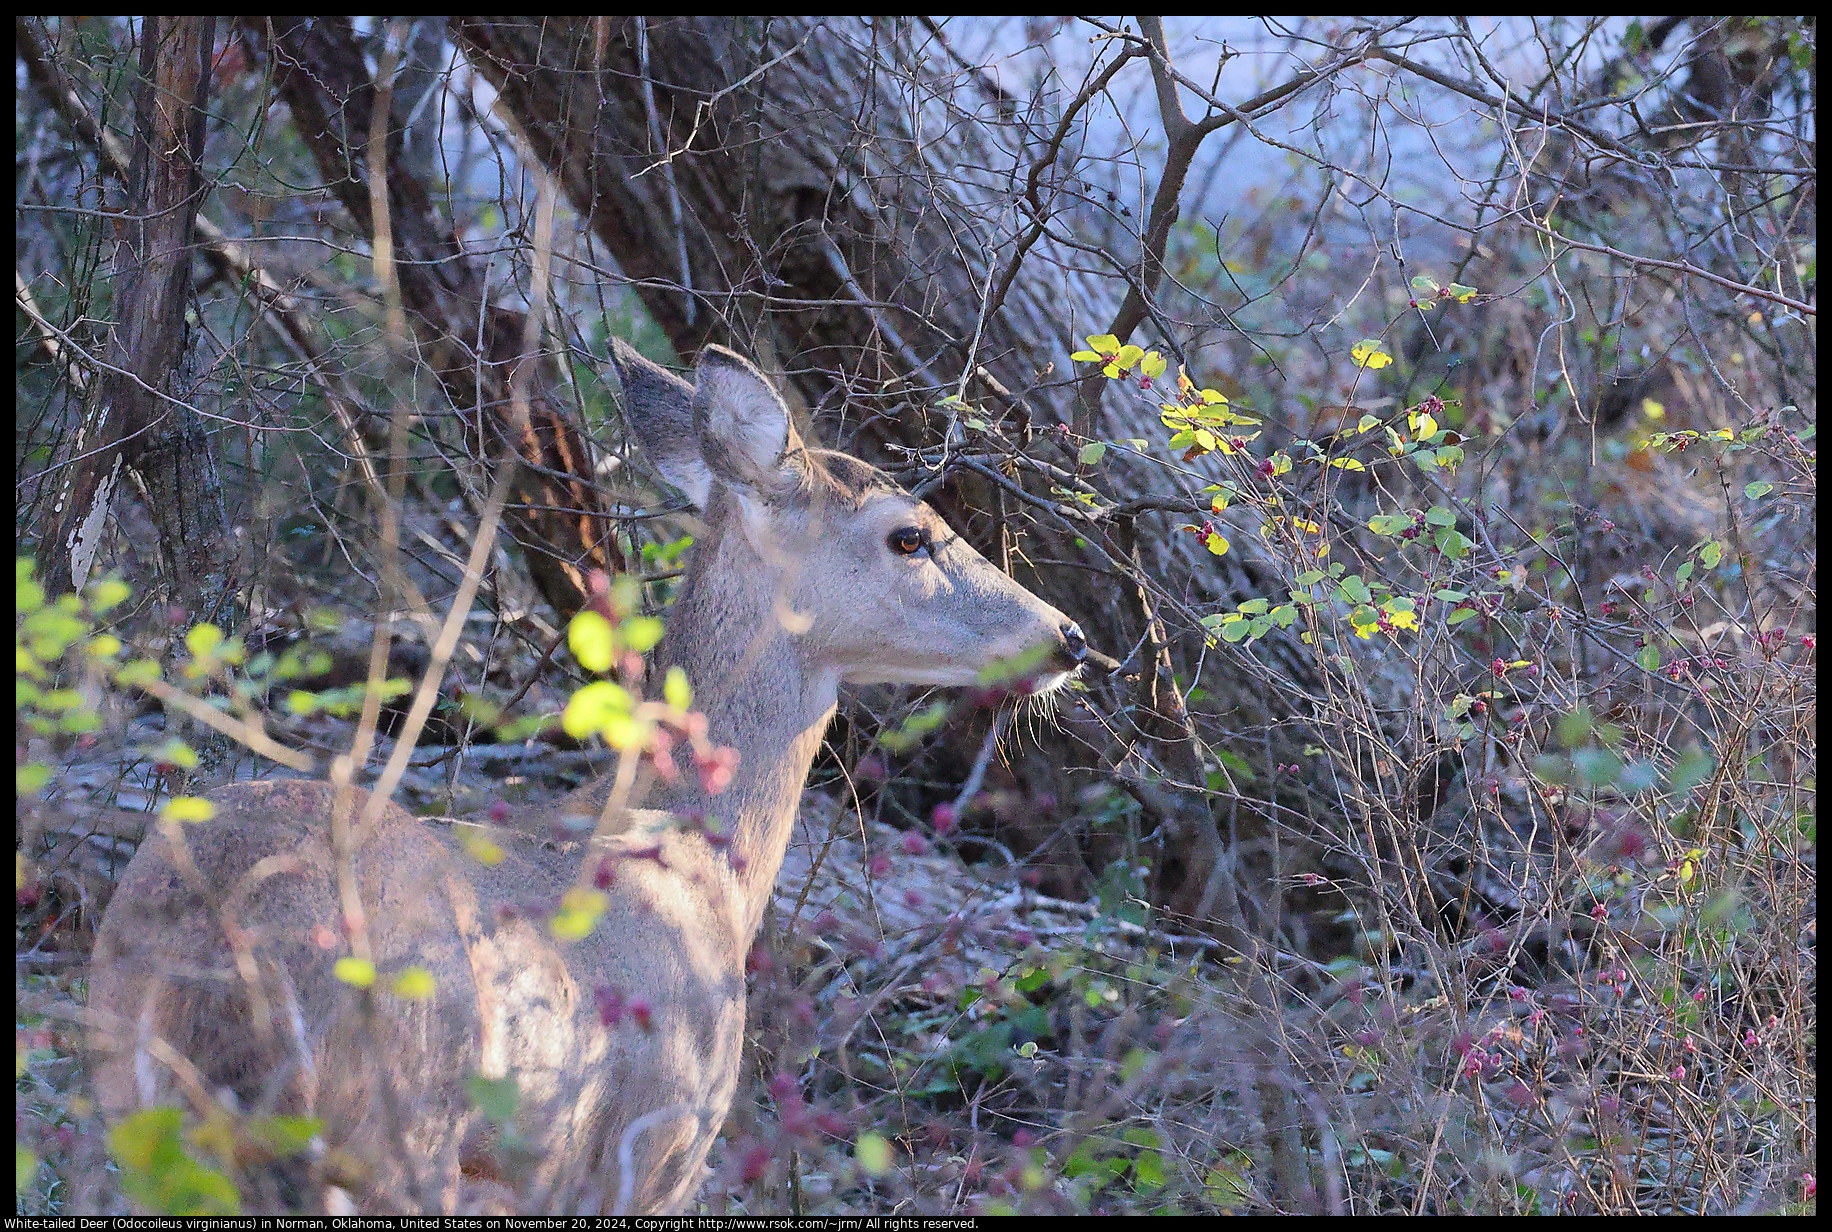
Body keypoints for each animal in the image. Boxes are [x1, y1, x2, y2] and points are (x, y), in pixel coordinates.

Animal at [89, 344, 1084, 1210]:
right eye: (910, 537)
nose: (1068, 635)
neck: (698, 853)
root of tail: (228, 970)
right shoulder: (660, 1146)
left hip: (139, 1128)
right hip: (397, 1133)